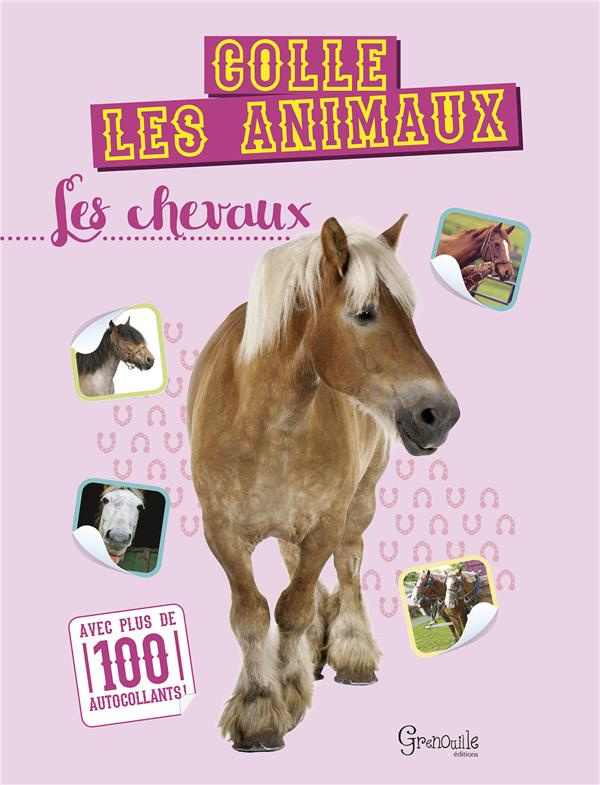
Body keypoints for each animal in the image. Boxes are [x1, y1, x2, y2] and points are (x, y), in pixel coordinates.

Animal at [187, 215, 460, 752]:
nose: (439, 415)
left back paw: (350, 654)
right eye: (365, 313)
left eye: (409, 313)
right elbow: (252, 615)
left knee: (350, 567)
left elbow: (292, 608)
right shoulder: (222, 534)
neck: (266, 425)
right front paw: (259, 707)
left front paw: (287, 694)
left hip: (358, 506)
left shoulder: (324, 527)